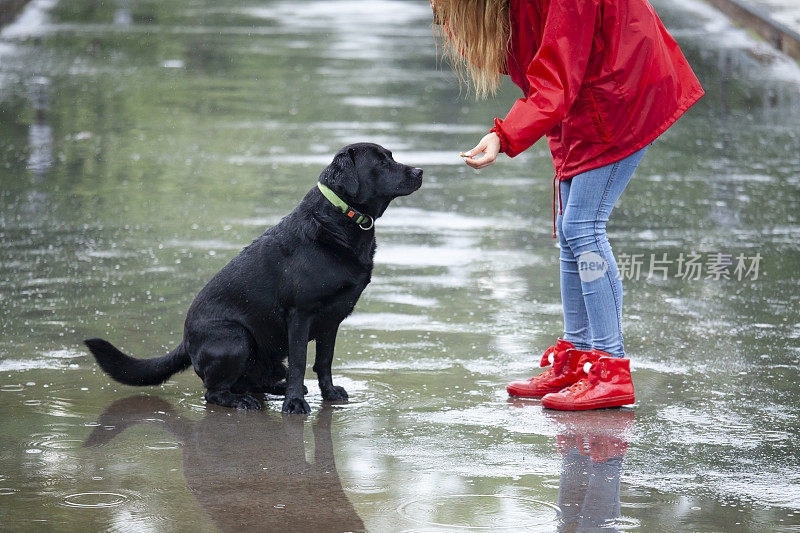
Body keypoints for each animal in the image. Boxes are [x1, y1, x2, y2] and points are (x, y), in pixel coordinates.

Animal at [85, 143, 424, 414]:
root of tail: (184, 341)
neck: (339, 220)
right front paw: (295, 405)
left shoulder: (332, 318)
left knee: (253, 381)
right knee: (215, 392)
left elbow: (324, 362)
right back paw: (245, 401)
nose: (420, 171)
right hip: (236, 337)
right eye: (380, 162)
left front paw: (328, 394)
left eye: (391, 156)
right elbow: (301, 361)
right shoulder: (300, 315)